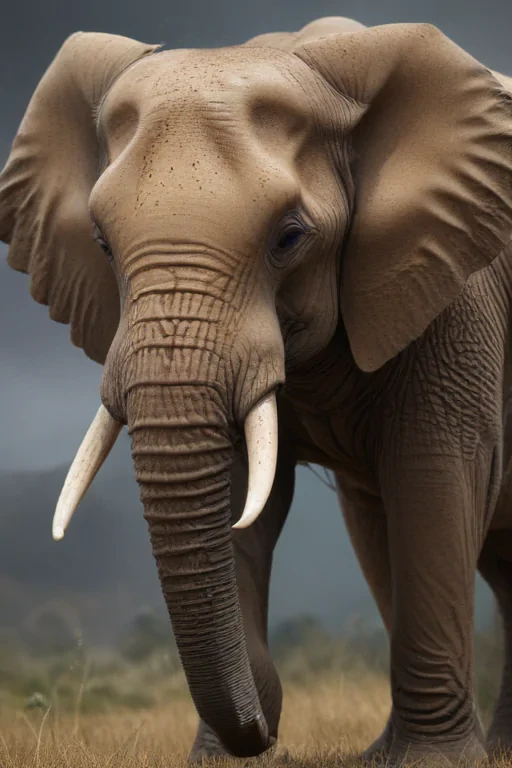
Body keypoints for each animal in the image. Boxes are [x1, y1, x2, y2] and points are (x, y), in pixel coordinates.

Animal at [1, 12, 512, 766]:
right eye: (101, 243)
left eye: (289, 238)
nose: (266, 733)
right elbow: (244, 495)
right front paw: (220, 756)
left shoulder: (451, 287)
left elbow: (432, 480)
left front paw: (432, 763)